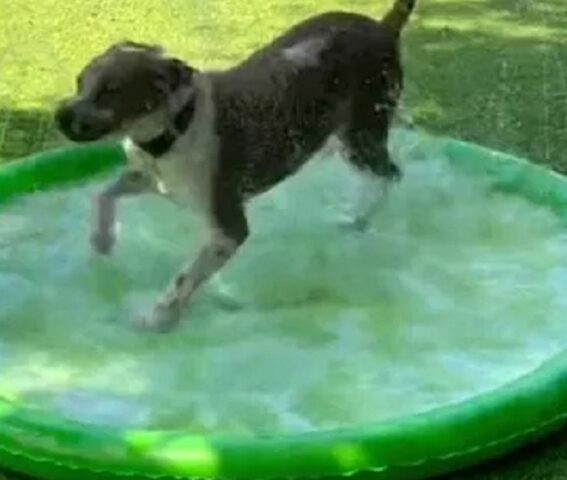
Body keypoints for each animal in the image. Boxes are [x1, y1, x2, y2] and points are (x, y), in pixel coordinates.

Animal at [54, 0, 418, 332]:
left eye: (109, 91)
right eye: (79, 81)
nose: (60, 115)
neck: (178, 125)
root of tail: (383, 27)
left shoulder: (228, 230)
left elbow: (184, 278)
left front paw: (159, 319)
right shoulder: (152, 179)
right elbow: (103, 195)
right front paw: (102, 241)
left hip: (362, 133)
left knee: (389, 175)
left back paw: (360, 220)